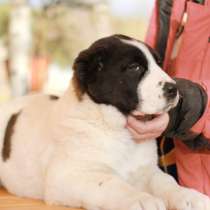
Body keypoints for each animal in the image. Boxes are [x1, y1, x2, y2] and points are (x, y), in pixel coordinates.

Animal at [0, 34, 209, 210]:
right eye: (135, 67)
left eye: (158, 64)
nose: (174, 89)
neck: (117, 131)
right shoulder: (67, 177)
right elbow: (112, 183)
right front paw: (141, 199)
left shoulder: (147, 170)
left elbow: (166, 181)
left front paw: (189, 196)